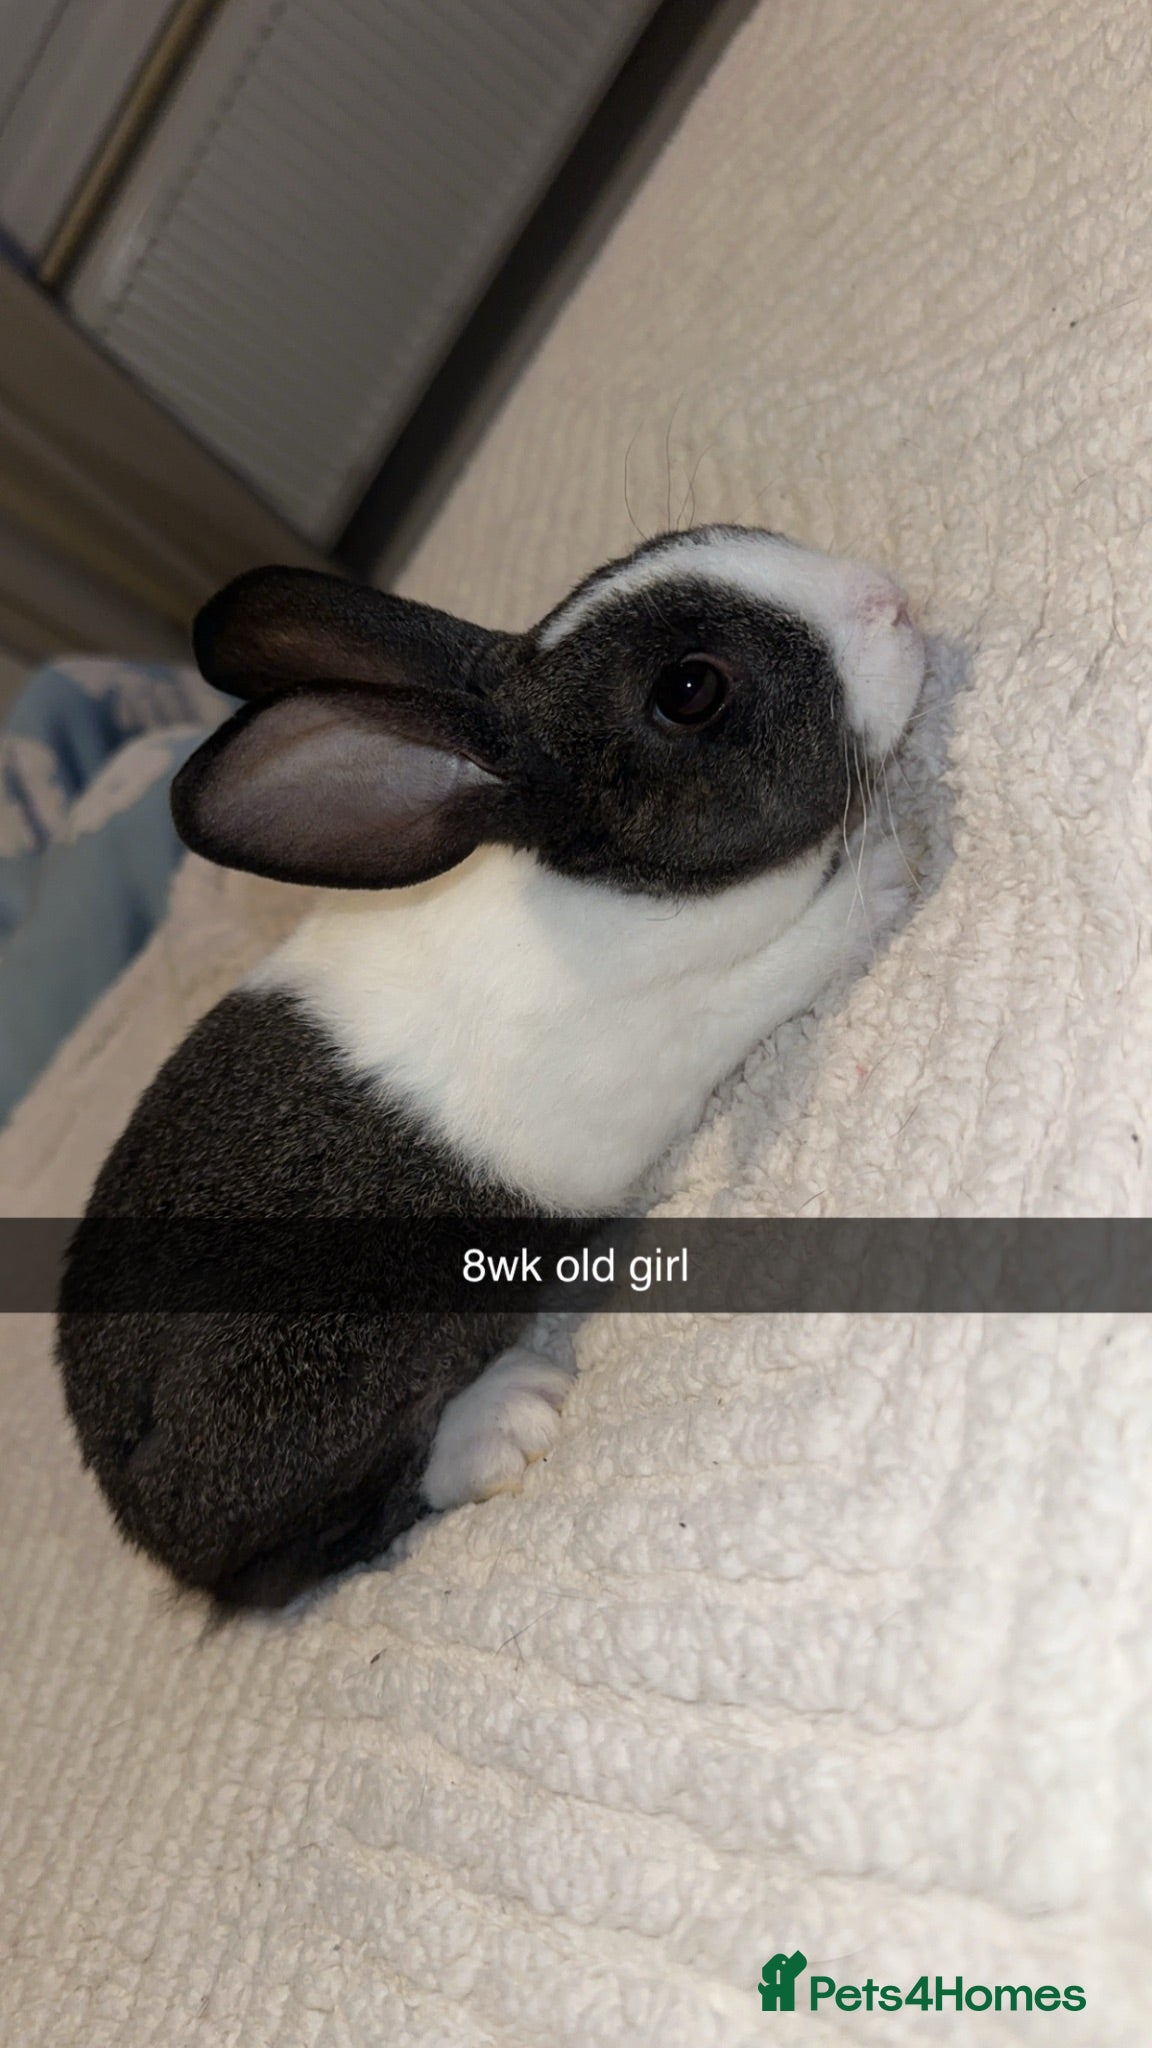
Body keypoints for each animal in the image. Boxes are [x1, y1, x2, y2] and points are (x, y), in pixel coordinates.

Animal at [55, 524, 925, 1609]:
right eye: (689, 689)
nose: (890, 602)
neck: (611, 879)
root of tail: (146, 1521)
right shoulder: (681, 1036)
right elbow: (789, 963)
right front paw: (883, 875)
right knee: (319, 1545)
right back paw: (505, 1415)